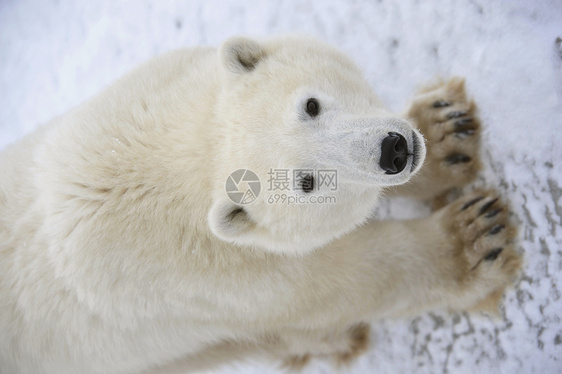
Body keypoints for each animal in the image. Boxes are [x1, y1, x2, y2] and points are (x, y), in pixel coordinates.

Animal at [0, 35, 520, 374]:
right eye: (307, 182)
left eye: (310, 105)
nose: (393, 150)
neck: (185, 158)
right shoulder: (215, 278)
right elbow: (337, 278)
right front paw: (474, 238)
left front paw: (448, 131)